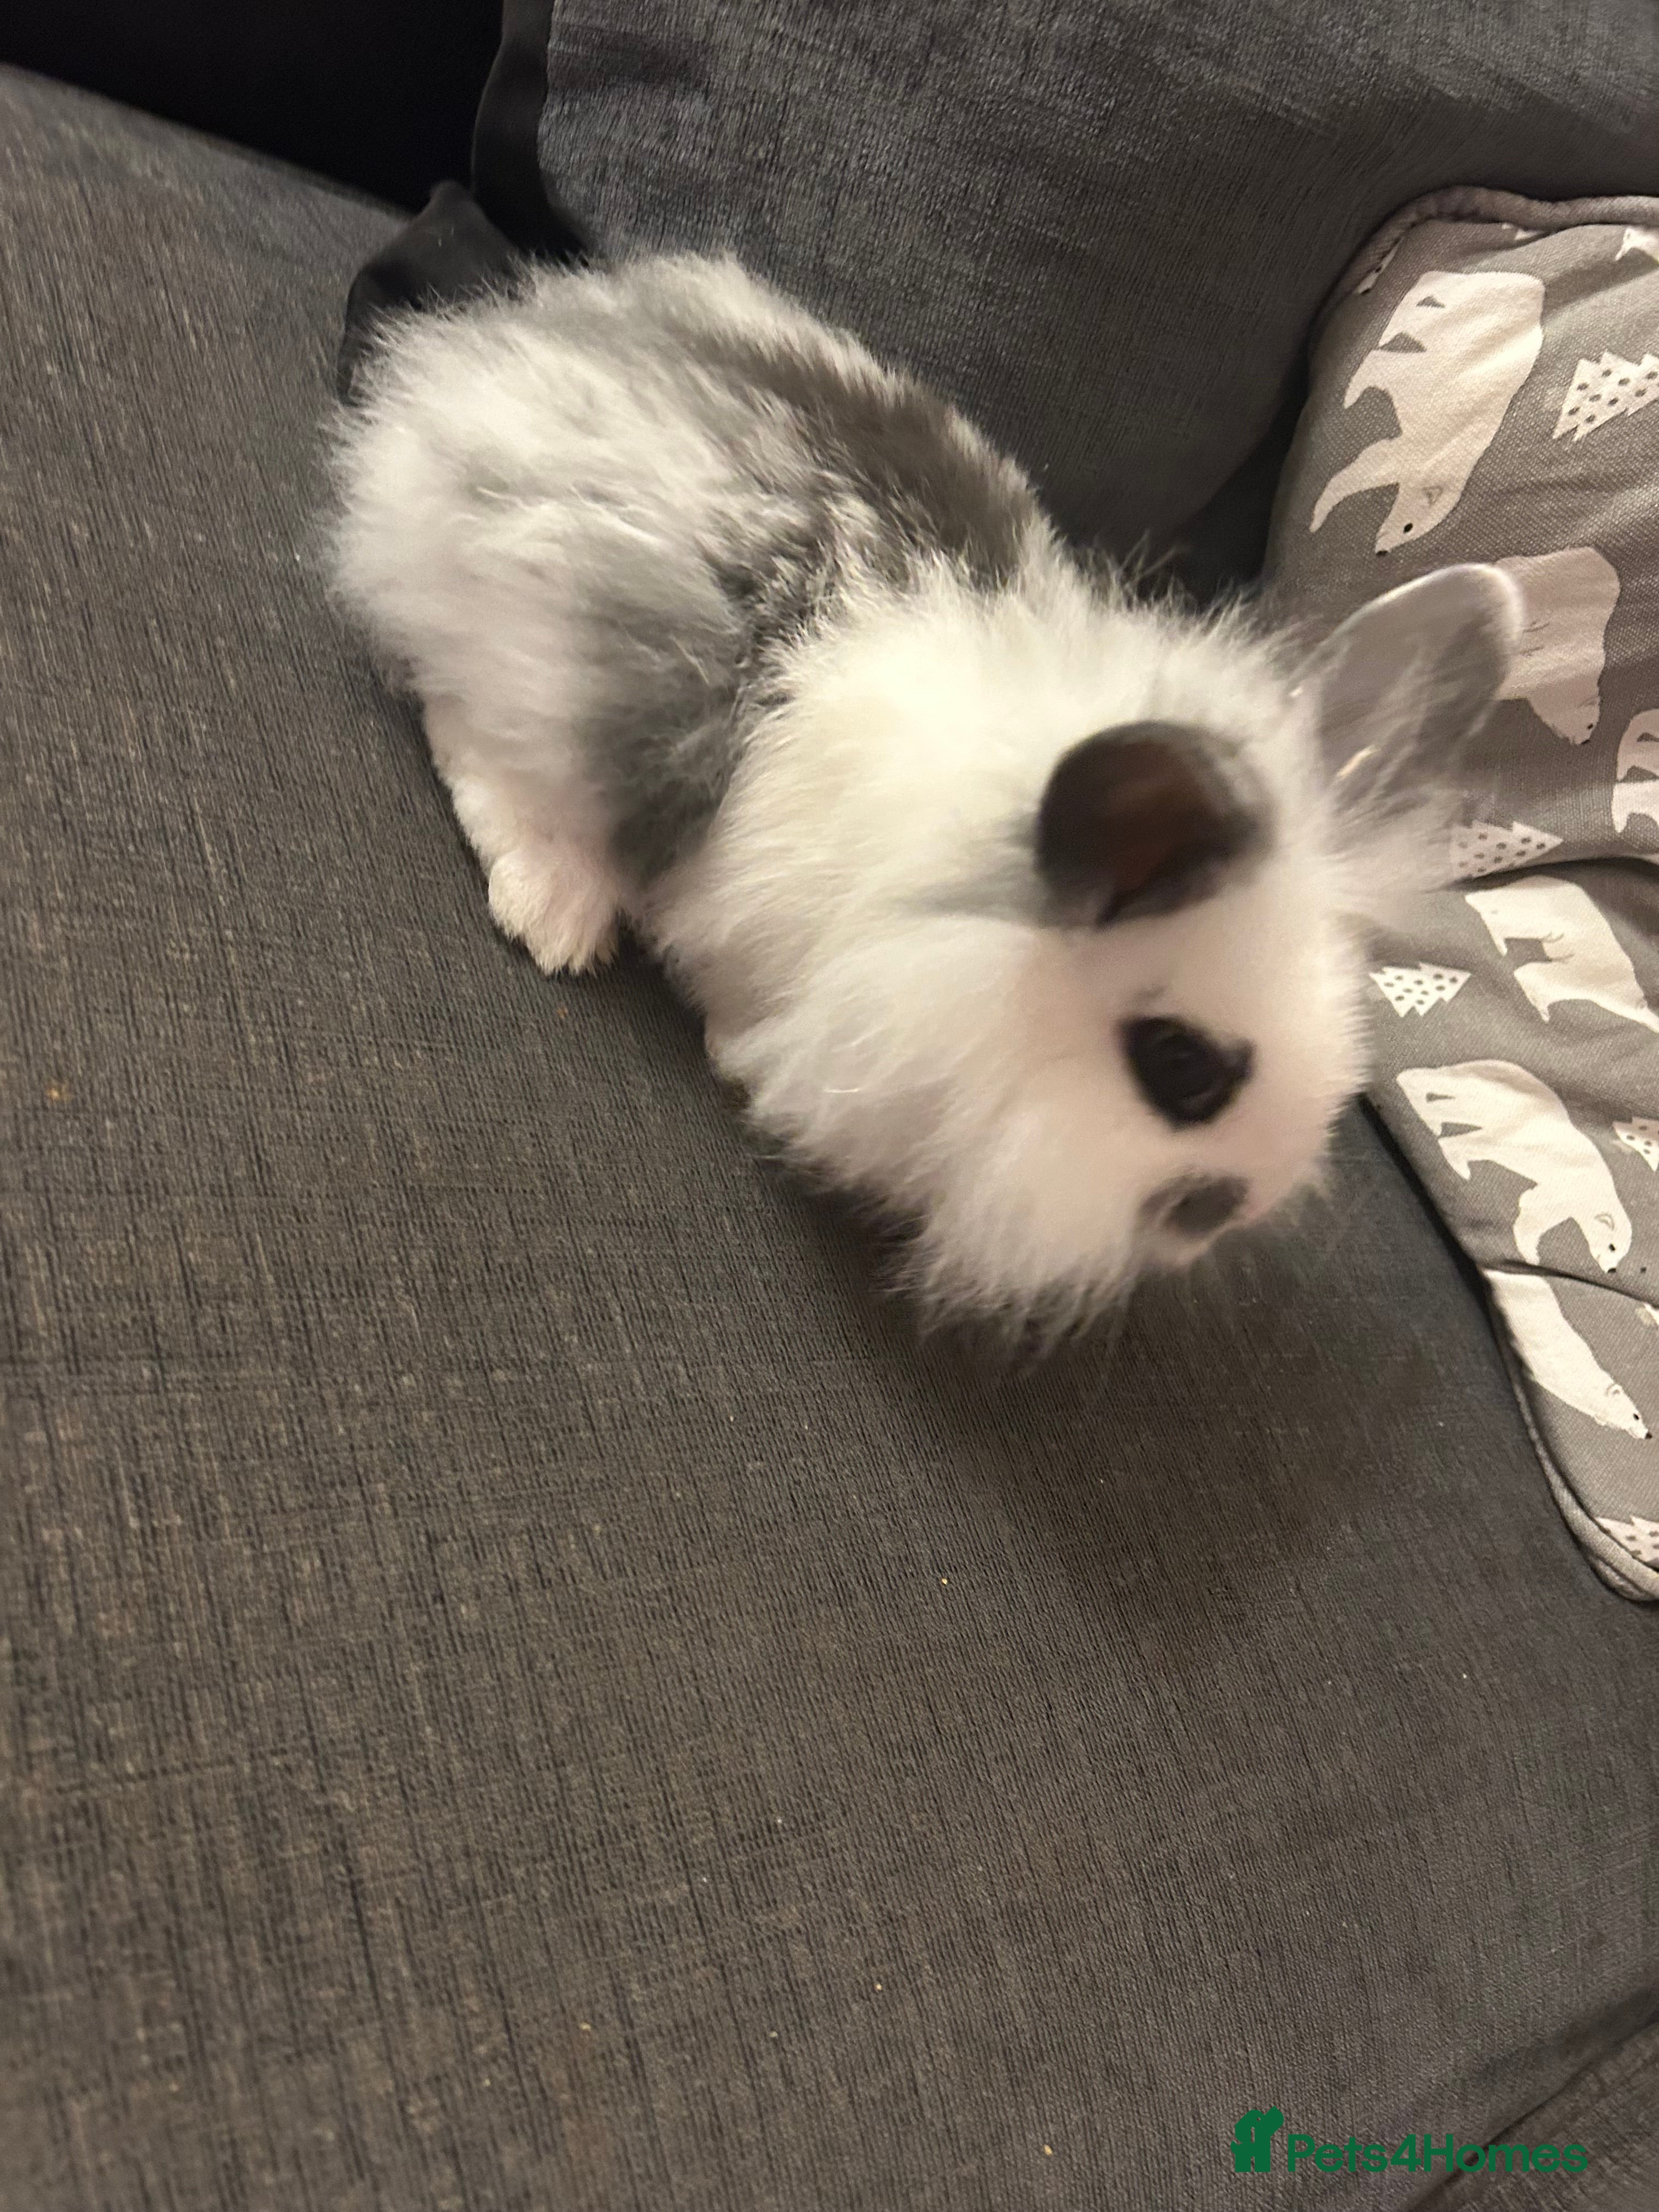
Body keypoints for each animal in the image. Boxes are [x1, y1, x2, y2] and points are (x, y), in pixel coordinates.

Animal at [329, 250, 1520, 1329]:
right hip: (538, 652)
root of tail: (492, 346)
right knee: (464, 725)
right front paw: (730, 1048)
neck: (957, 926)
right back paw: (556, 910)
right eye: (1179, 1065)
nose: (1234, 1208)